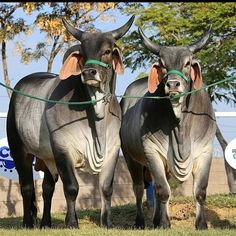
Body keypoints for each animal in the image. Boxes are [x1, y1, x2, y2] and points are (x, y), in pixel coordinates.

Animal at [6, 15, 135, 229]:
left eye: (107, 51)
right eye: (82, 52)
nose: (89, 73)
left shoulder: (112, 150)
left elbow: (106, 188)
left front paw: (107, 222)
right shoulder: (63, 148)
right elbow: (72, 188)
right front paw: (72, 222)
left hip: (47, 158)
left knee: (47, 188)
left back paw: (45, 223)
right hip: (19, 150)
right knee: (26, 187)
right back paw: (28, 222)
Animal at [121, 26, 217, 230]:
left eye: (188, 62)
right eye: (162, 63)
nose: (173, 84)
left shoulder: (205, 151)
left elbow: (200, 191)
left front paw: (201, 224)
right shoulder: (152, 151)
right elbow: (163, 191)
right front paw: (165, 223)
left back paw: (157, 220)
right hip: (130, 157)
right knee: (139, 188)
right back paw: (141, 221)